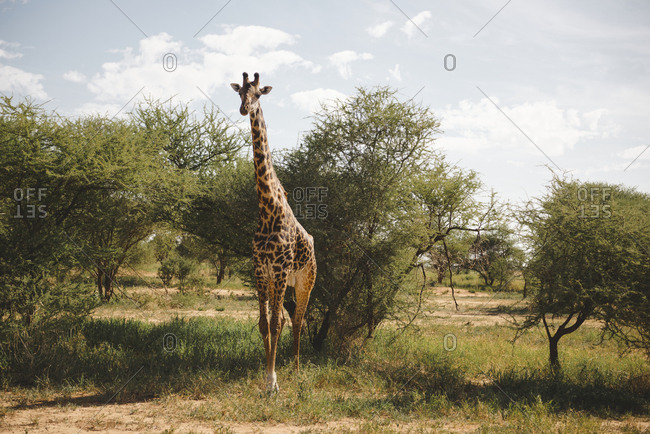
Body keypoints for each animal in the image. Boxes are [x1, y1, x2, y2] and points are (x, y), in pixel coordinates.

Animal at [231, 72, 317, 393]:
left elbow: (276, 323)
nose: (245, 109)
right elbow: (265, 323)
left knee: (299, 320)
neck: (267, 208)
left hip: (305, 281)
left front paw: (273, 382)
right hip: (283, 281)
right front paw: (267, 375)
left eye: (259, 94)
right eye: (239, 92)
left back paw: (296, 369)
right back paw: (287, 365)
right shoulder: (260, 269)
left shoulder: (279, 269)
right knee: (286, 316)